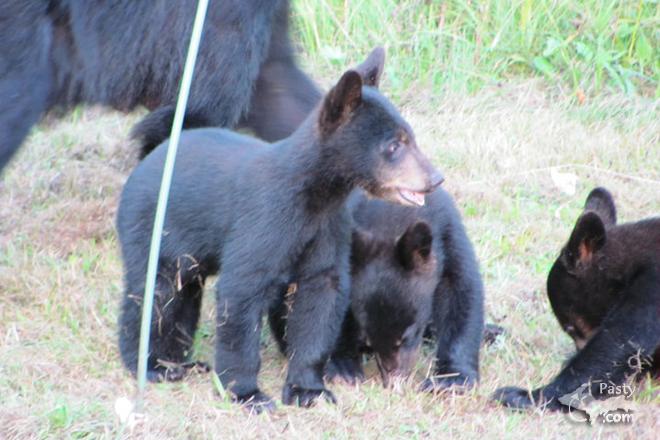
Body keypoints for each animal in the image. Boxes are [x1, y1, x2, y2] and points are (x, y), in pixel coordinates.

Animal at [116, 48, 444, 413]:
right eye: (393, 146)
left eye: (410, 137)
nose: (435, 179)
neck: (315, 197)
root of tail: (154, 155)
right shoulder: (265, 219)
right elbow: (241, 291)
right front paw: (248, 394)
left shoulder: (329, 229)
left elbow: (320, 298)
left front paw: (310, 390)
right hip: (151, 227)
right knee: (155, 293)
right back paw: (153, 366)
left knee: (185, 294)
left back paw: (181, 361)